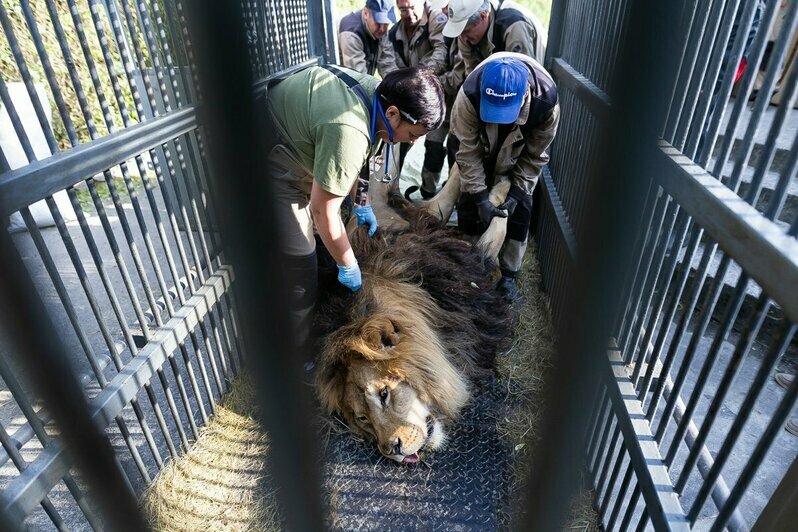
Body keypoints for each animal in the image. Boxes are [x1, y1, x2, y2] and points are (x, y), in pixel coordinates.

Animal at [316, 168, 516, 464]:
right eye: (363, 418)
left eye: (384, 394)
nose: (392, 449)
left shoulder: (474, 279)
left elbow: (497, 230)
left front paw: (499, 196)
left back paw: (500, 184)